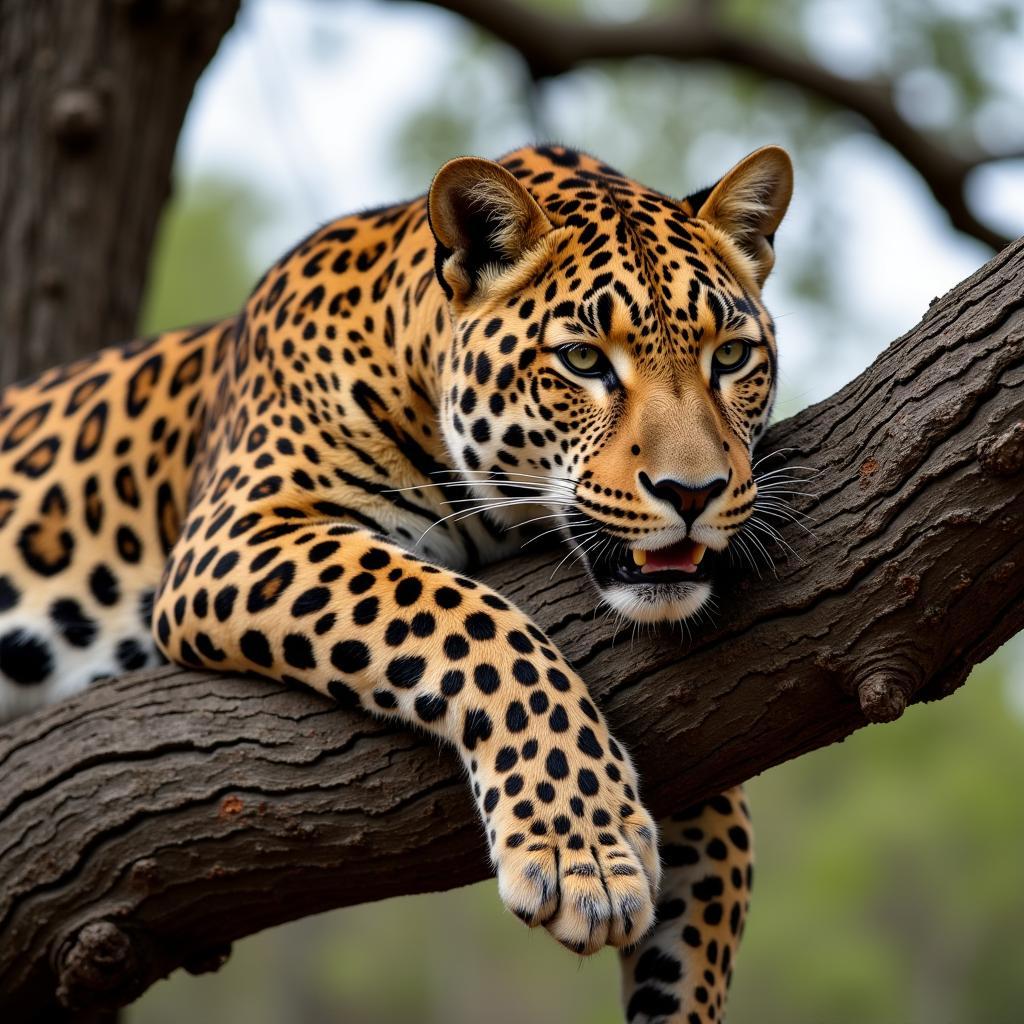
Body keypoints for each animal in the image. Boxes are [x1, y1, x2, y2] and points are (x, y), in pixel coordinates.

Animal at [0, 144, 790, 1024]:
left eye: (731, 357)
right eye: (584, 361)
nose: (693, 494)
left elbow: (716, 856)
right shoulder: (242, 529)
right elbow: (469, 618)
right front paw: (577, 845)